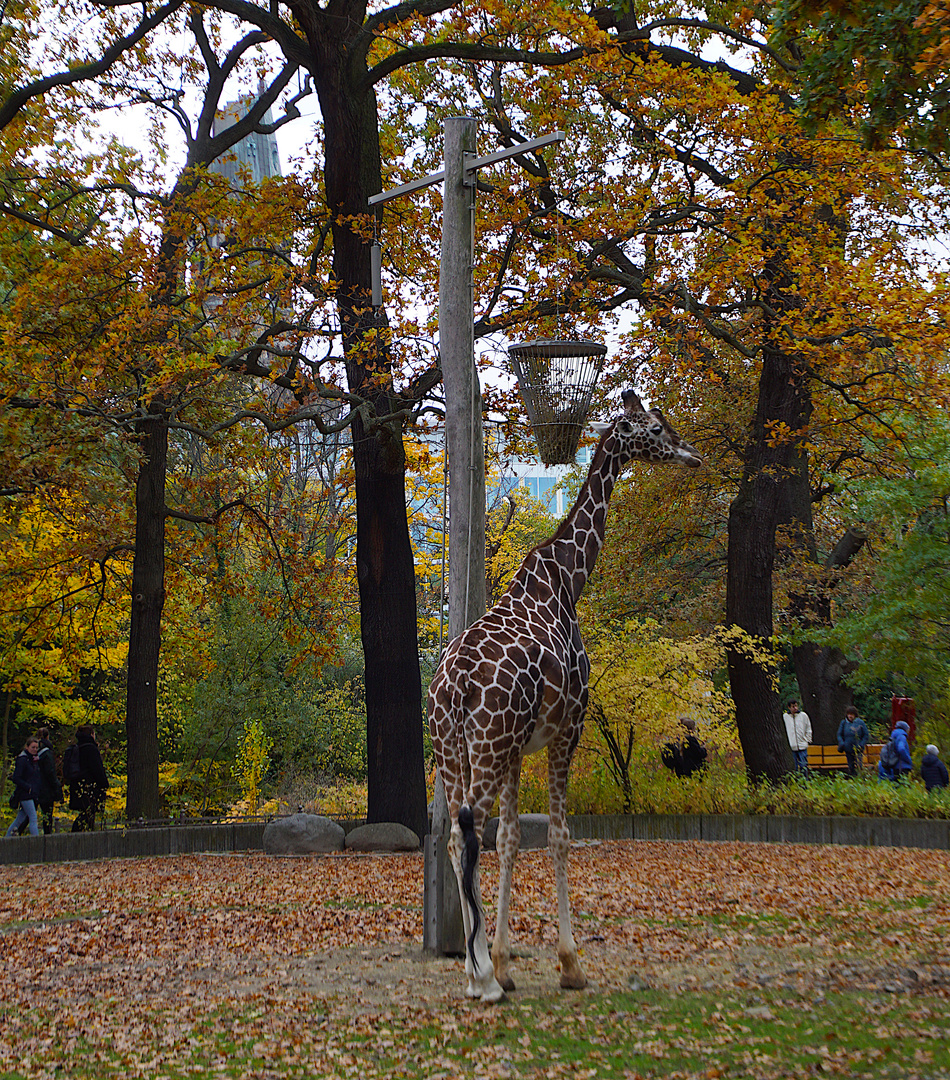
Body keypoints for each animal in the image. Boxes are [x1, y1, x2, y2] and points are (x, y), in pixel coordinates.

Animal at [427, 390, 699, 1002]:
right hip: (485, 748)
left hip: (452, 750)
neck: (568, 580)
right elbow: (557, 837)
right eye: (655, 428)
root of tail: (452, 687)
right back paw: (481, 979)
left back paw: (477, 972)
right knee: (467, 830)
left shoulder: (517, 751)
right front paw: (569, 965)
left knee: (457, 838)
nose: (691, 453)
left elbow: (509, 841)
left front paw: (506, 961)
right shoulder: (567, 729)